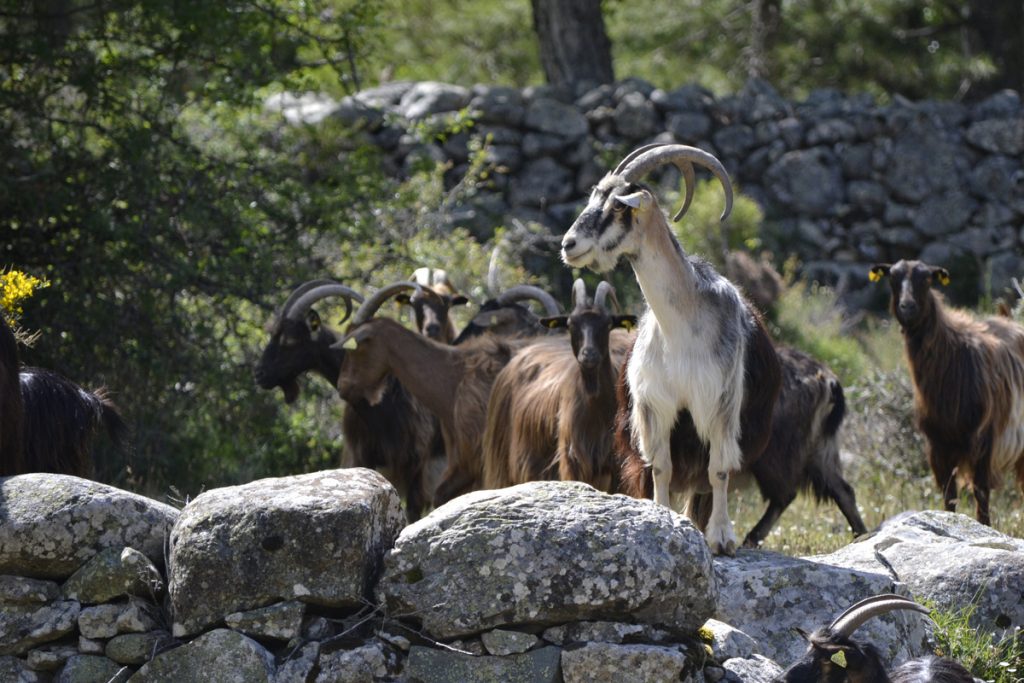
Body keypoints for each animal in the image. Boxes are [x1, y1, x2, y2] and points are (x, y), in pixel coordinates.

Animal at [483, 280, 634, 493]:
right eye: (571, 324)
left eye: (607, 324)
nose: (589, 355)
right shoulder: (573, 459)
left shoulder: (613, 464)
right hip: (504, 465)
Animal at [868, 259, 1024, 528]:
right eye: (892, 278)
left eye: (927, 279)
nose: (907, 306)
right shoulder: (938, 445)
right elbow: (949, 498)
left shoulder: (985, 441)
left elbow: (981, 496)